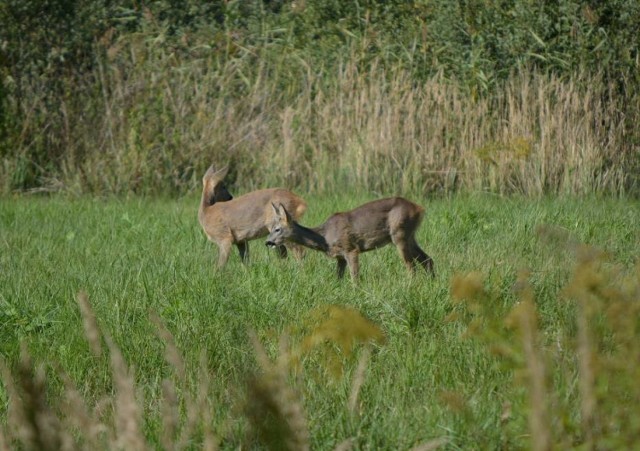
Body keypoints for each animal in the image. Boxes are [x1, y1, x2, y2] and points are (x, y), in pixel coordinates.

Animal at [264, 197, 436, 280]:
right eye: (270, 230)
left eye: (278, 229)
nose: (268, 242)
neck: (325, 238)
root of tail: (419, 208)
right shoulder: (340, 257)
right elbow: (338, 278)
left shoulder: (351, 249)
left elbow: (355, 278)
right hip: (410, 235)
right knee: (427, 260)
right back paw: (431, 284)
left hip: (399, 234)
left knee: (411, 266)